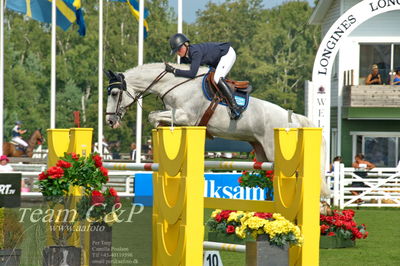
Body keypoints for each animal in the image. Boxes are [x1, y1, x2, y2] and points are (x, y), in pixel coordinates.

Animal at [104, 62, 330, 194]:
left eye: (114, 93)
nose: (110, 121)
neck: (174, 84)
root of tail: (292, 117)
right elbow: (157, 117)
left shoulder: (187, 116)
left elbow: (153, 115)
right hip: (262, 153)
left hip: (275, 152)